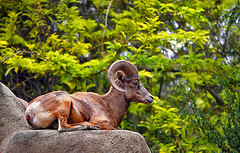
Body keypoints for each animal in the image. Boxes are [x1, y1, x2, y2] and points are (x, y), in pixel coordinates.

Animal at [25, 60, 153, 131]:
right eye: (135, 83)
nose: (151, 98)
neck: (108, 105)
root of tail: (29, 111)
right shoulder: (103, 122)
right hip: (64, 102)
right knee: (62, 127)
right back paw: (90, 126)